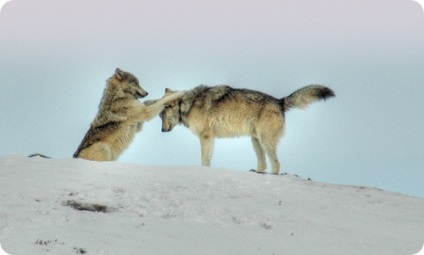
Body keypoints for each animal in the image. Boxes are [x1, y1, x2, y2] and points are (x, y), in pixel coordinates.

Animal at [159, 84, 334, 174]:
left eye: (162, 115)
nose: (161, 131)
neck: (187, 105)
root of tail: (279, 101)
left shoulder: (206, 137)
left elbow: (204, 161)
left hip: (265, 141)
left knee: (276, 164)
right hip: (255, 141)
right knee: (263, 165)